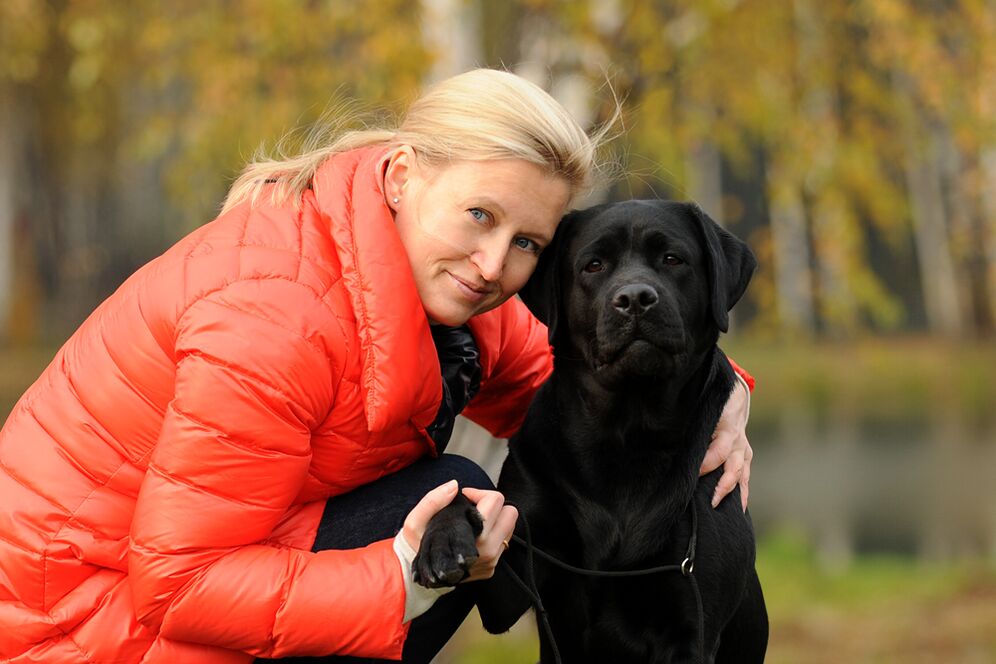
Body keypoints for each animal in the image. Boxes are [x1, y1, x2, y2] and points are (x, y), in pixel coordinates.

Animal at [412, 200, 772, 660]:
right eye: (594, 265)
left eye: (673, 259)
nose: (635, 298)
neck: (626, 434)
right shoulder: (512, 587)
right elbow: (469, 494)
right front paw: (442, 538)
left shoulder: (692, 628)